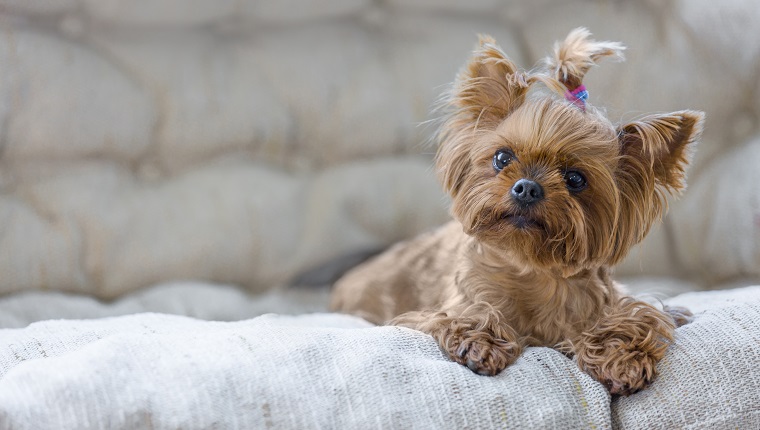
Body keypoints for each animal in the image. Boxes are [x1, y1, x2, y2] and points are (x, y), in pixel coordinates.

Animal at [330, 28, 704, 394]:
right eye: (502, 158)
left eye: (575, 178)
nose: (527, 187)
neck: (532, 270)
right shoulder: (445, 306)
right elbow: (469, 315)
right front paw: (481, 342)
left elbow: (638, 317)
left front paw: (621, 357)